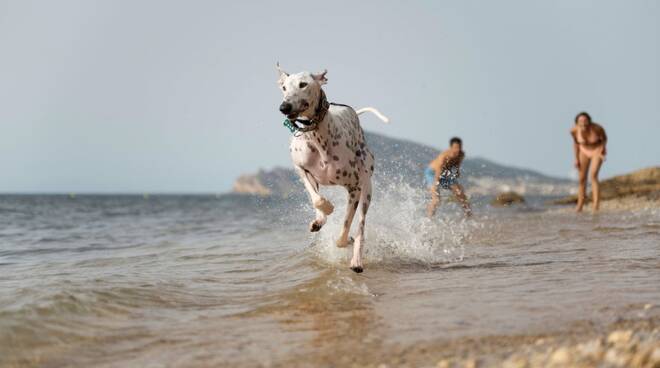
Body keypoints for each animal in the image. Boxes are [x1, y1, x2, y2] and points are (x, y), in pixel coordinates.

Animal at [276, 63, 390, 272]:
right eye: (284, 87)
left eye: (303, 84)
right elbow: (317, 200)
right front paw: (326, 210)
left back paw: (357, 259)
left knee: (361, 226)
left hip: (367, 187)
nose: (284, 107)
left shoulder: (354, 188)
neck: (316, 136)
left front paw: (346, 240)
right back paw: (320, 220)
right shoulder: (301, 169)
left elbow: (345, 230)